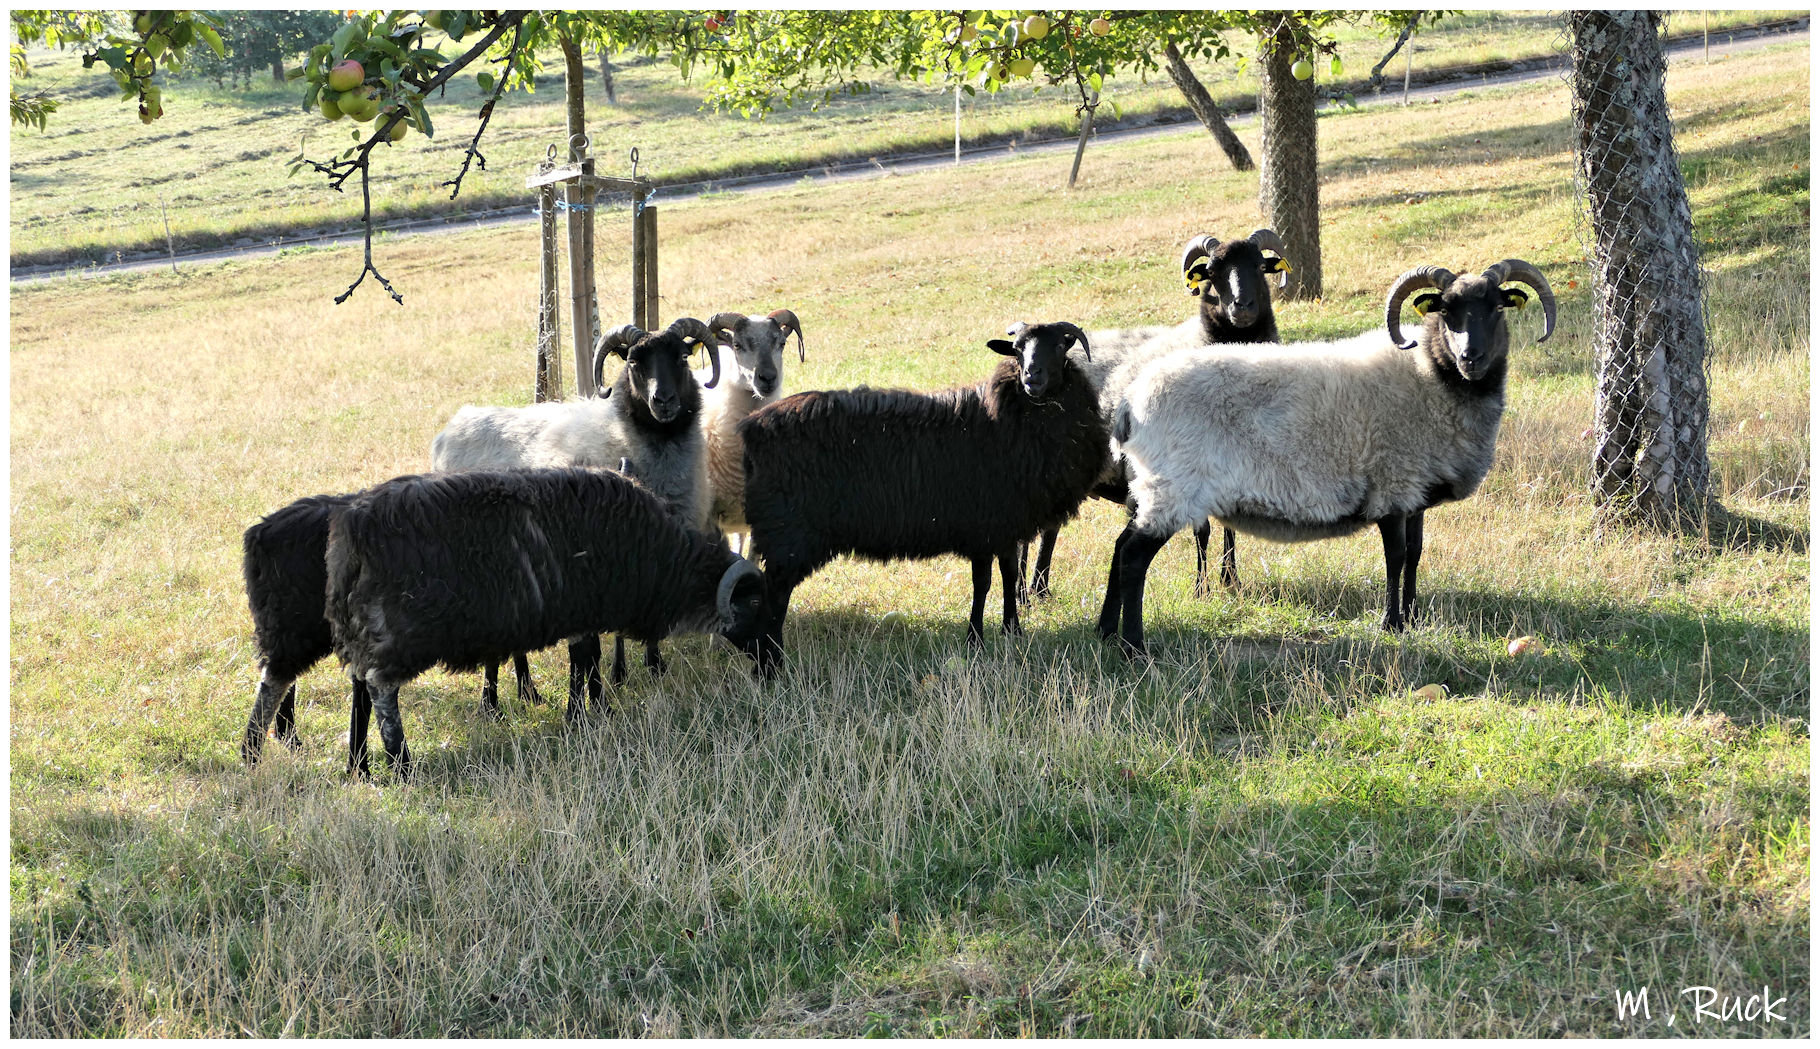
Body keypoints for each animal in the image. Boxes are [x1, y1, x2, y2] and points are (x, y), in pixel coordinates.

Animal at [323, 466, 764, 779]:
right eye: (760, 607)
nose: (772, 667)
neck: (665, 560)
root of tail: (350, 533)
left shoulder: (581, 610)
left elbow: (584, 659)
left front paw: (590, 710)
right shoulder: (583, 607)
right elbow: (584, 658)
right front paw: (580, 715)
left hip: (362, 631)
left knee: (359, 687)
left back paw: (358, 766)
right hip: (396, 635)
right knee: (381, 691)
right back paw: (401, 767)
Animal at [738, 320, 1106, 677]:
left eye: (1059, 345)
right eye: (1017, 350)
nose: (1031, 376)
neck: (1006, 420)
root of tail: (751, 429)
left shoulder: (1004, 524)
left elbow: (1008, 574)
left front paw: (1011, 631)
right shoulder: (984, 525)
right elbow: (984, 582)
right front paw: (975, 638)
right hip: (789, 534)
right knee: (774, 598)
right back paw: (771, 666)